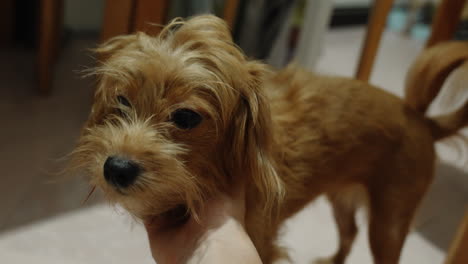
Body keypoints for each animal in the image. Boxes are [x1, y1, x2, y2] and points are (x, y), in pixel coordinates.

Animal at [69, 15, 468, 262]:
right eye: (122, 101)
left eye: (185, 117)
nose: (116, 168)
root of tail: (422, 119)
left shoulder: (261, 243)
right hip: (343, 200)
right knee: (350, 233)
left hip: (389, 225)